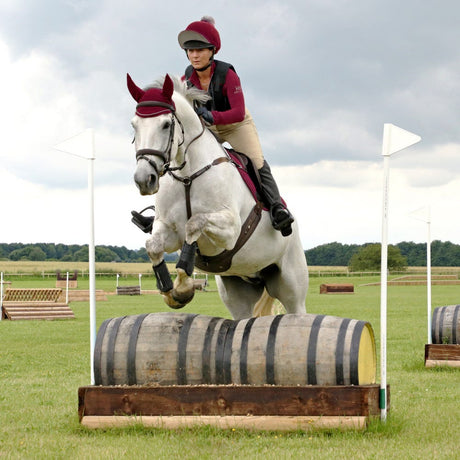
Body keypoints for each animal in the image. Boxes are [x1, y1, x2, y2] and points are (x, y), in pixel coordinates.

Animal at [127, 75, 308, 320]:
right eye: (134, 125)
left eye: (166, 125)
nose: (144, 180)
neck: (188, 176)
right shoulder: (169, 231)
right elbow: (153, 246)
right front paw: (172, 293)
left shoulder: (230, 230)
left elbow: (195, 223)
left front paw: (183, 287)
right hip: (237, 290)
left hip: (292, 287)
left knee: (296, 306)